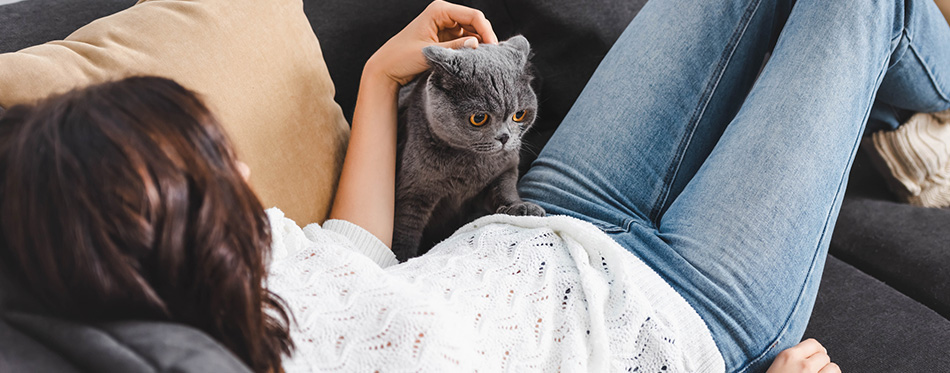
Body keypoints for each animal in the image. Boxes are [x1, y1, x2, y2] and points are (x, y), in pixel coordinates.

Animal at [392, 35, 544, 262]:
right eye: (478, 118)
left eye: (519, 115)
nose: (505, 137)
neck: (473, 165)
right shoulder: (412, 195)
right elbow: (405, 232)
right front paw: (402, 260)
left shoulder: (506, 169)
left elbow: (505, 189)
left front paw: (522, 207)